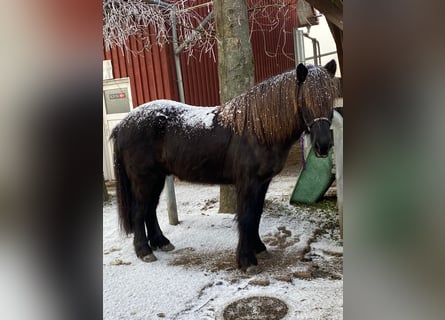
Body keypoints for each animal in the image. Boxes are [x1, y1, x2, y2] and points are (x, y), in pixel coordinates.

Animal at [111, 58, 336, 272]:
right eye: (305, 100)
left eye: (330, 99)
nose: (323, 146)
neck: (257, 130)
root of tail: (122, 125)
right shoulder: (248, 182)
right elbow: (246, 217)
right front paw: (246, 260)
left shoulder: (263, 182)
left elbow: (256, 214)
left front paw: (258, 248)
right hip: (144, 179)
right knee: (139, 211)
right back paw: (144, 251)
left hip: (157, 178)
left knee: (149, 210)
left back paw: (161, 242)